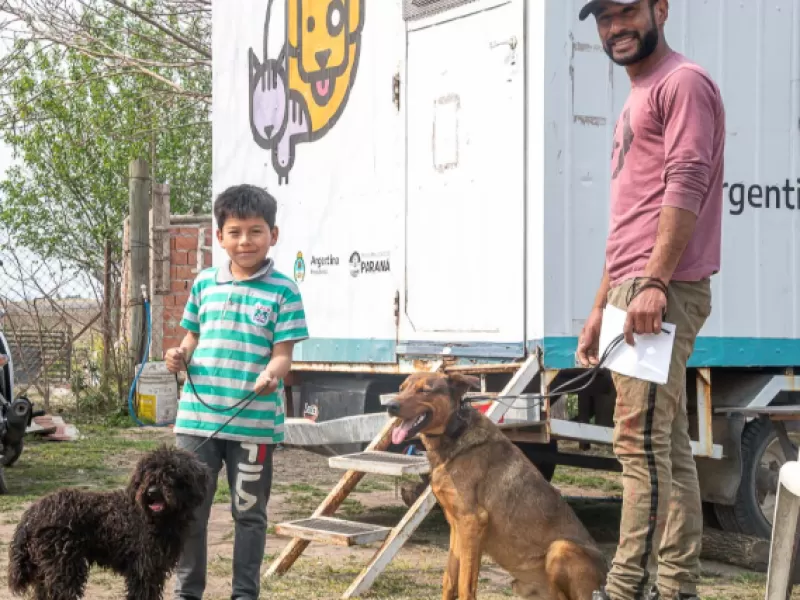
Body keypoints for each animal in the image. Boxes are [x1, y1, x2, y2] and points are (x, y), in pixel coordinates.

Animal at [7, 442, 208, 596]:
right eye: (147, 473)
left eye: (171, 472)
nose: (151, 492)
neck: (156, 519)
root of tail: (31, 512)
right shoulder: (144, 570)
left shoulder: (154, 570)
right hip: (63, 567)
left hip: (45, 570)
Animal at [388, 372, 608, 596]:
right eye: (401, 388)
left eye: (424, 390)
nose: (390, 406)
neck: (454, 432)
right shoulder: (456, 526)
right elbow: (449, 581)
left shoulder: (472, 522)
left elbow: (465, 585)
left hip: (561, 548)